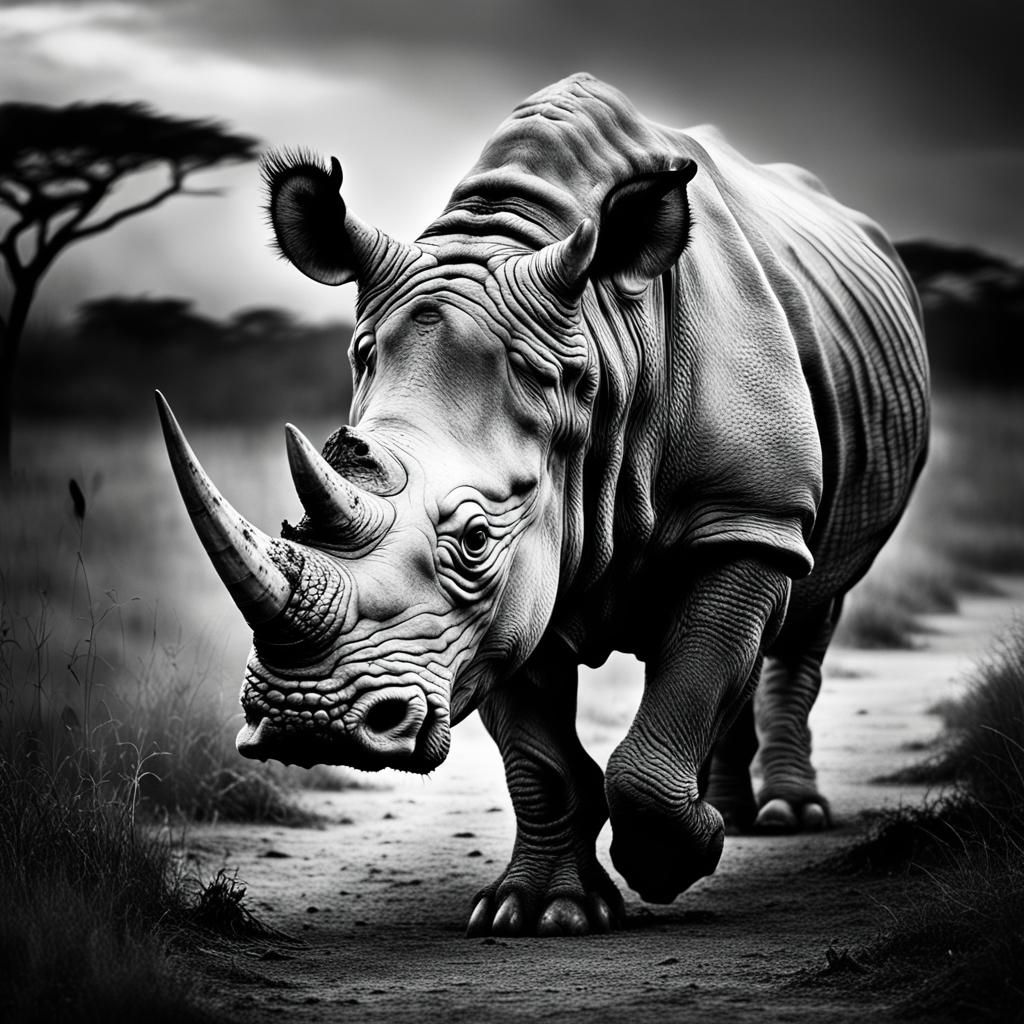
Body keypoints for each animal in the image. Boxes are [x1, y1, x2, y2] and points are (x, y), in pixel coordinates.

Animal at [158, 73, 928, 937]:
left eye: (474, 540)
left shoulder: (746, 514)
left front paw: (672, 863)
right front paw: (538, 912)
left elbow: (697, 669)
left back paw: (784, 817)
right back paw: (731, 811)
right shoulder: (502, 601)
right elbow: (539, 756)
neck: (599, 350)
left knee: (811, 606)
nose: (305, 722)